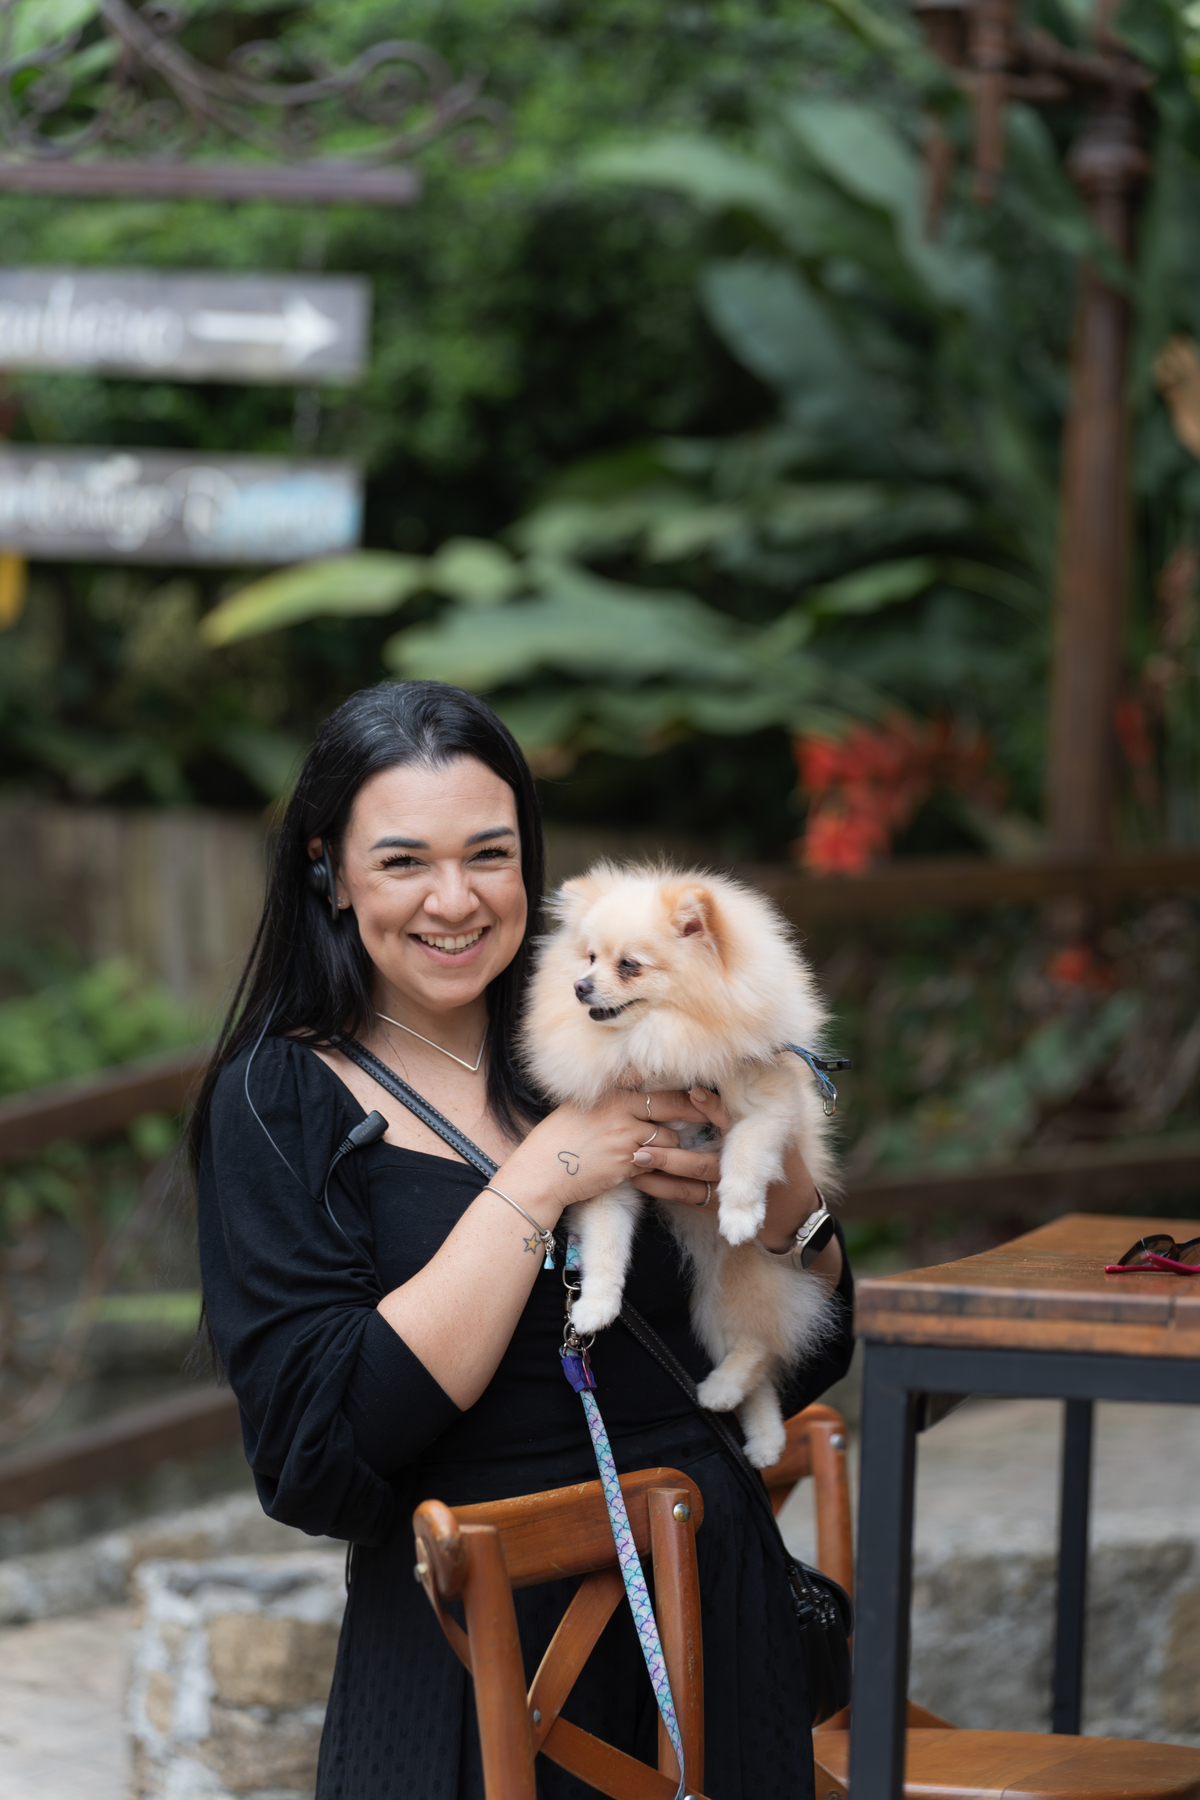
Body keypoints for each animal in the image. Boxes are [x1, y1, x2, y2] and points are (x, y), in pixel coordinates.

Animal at [521, 862, 839, 1467]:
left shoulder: (768, 1108)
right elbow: (605, 1245)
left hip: (737, 1280)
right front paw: (595, 1306)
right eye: (588, 957)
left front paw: (738, 1212)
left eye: (629, 965)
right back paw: (762, 1435)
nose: (579, 986)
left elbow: (743, 1150)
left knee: (759, 1344)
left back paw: (723, 1392)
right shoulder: (615, 1166)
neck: (662, 1041)